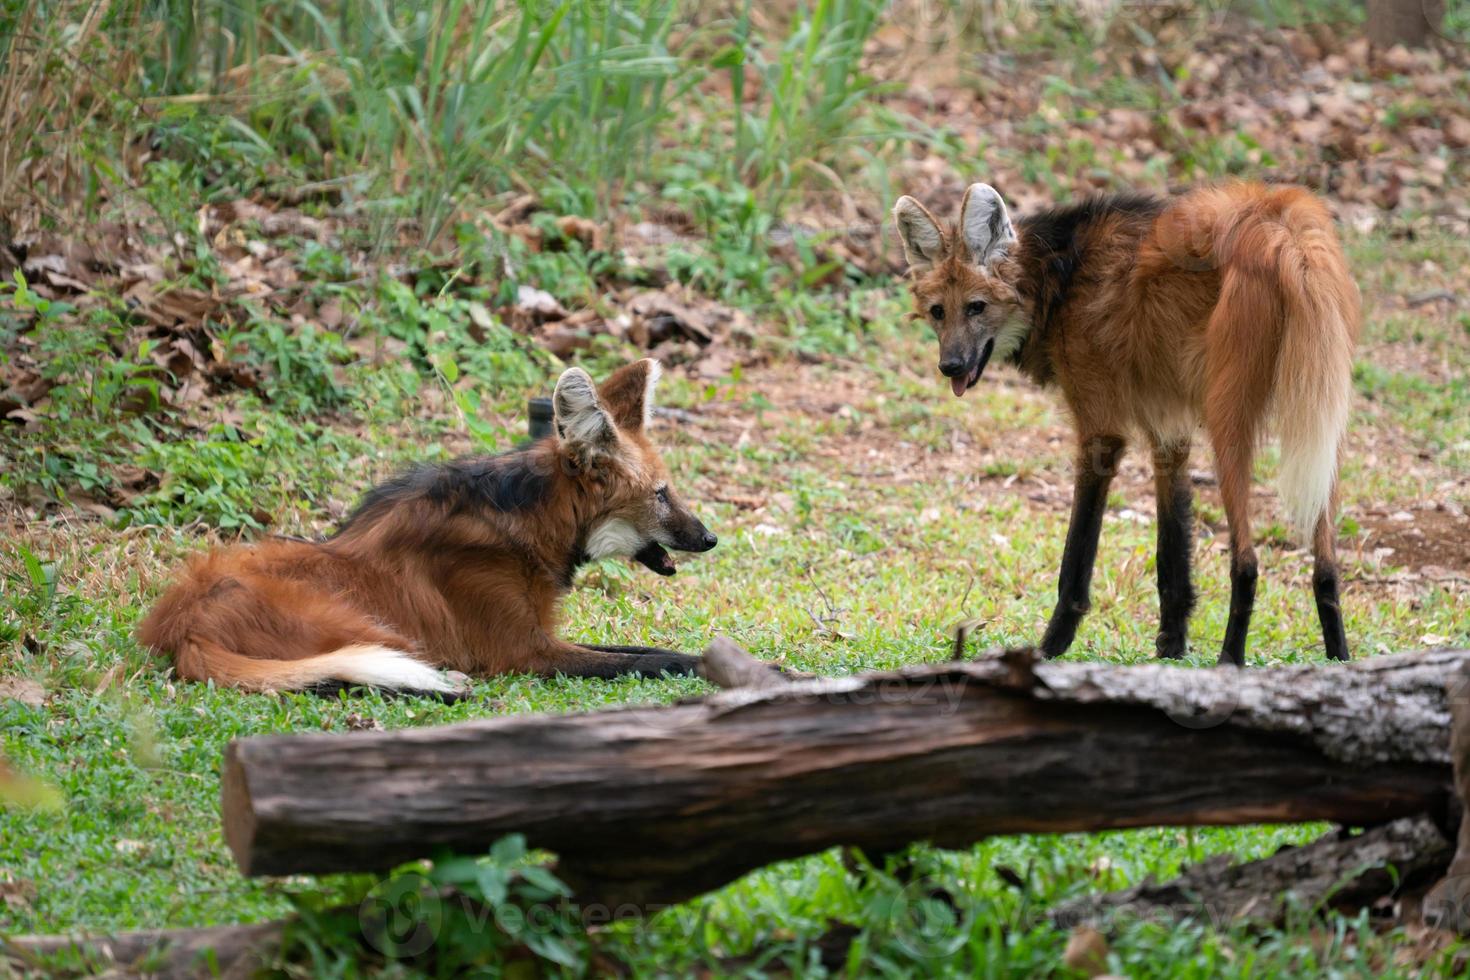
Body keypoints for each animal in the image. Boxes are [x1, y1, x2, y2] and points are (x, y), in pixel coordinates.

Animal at [138, 359, 717, 696]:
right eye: (661, 494)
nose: (710, 538)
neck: (526, 525)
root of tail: (181, 625)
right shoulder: (524, 652)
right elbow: (654, 659)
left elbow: (643, 653)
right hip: (366, 625)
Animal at [887, 179, 1358, 667]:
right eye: (939, 312)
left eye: (976, 307)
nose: (950, 365)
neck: (1056, 280)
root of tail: (1280, 224)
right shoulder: (1167, 430)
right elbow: (1172, 552)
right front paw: (1171, 647)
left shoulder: (1101, 431)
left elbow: (1077, 557)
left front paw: (1049, 647)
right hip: (1321, 413)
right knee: (1326, 561)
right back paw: (1339, 658)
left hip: (1231, 417)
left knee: (1246, 562)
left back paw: (1231, 660)